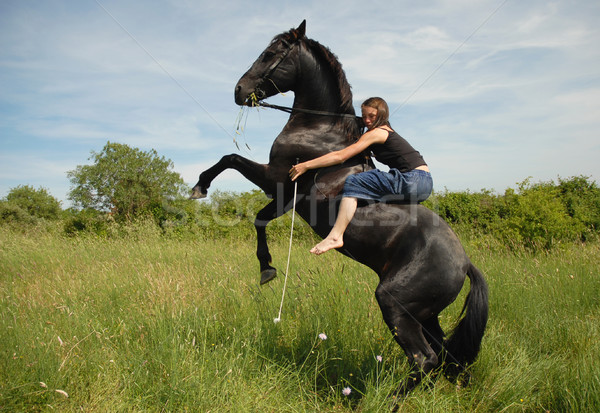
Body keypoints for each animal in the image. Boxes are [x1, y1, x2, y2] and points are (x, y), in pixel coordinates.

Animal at [192, 20, 488, 398]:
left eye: (270, 54)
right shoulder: (285, 196)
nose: (239, 90)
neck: (319, 129)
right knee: (443, 354)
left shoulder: (279, 180)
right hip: (425, 314)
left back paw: (382, 400)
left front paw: (201, 189)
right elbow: (259, 215)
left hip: (395, 304)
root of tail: (465, 263)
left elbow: (232, 164)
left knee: (425, 359)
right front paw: (267, 268)